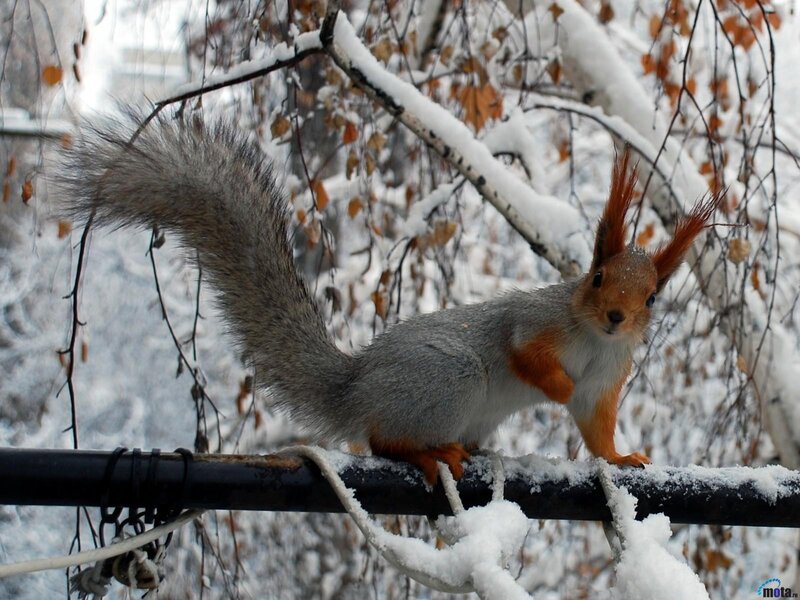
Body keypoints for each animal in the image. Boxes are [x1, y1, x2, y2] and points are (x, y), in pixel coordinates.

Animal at [57, 114, 719, 484]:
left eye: (653, 297)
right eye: (598, 277)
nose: (615, 317)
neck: (589, 338)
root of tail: (358, 386)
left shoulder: (606, 377)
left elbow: (594, 425)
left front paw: (620, 459)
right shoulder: (534, 321)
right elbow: (523, 353)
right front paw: (552, 384)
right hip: (449, 379)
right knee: (383, 441)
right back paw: (428, 453)